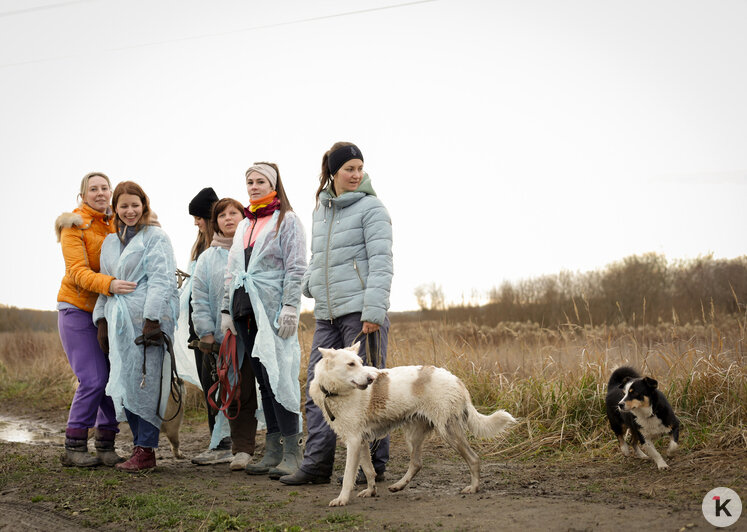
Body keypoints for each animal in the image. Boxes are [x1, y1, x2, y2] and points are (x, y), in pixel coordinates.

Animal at [308, 342, 516, 504]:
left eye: (360, 363)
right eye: (351, 364)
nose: (371, 379)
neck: (334, 392)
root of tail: (457, 380)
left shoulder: (353, 441)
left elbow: (348, 476)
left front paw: (342, 499)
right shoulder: (361, 440)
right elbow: (368, 470)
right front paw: (371, 491)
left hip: (448, 431)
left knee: (473, 459)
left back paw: (473, 488)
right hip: (413, 436)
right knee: (417, 463)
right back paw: (398, 486)